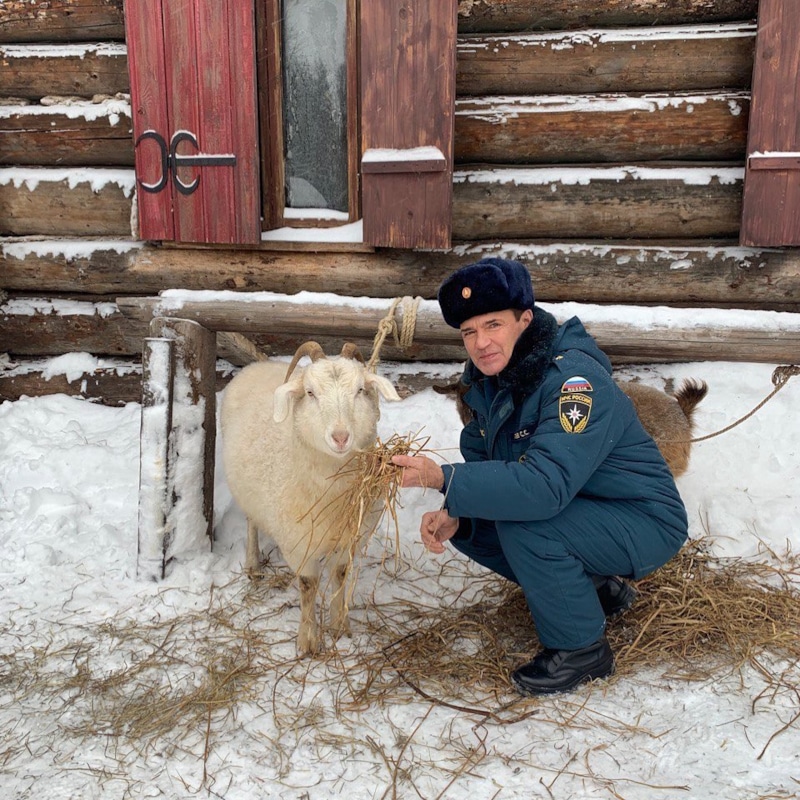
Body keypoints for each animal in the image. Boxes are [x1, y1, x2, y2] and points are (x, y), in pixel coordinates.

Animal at [220, 340, 400, 652]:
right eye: (310, 392)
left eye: (360, 390)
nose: (340, 437)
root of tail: (257, 365)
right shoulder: (298, 543)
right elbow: (308, 587)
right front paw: (308, 641)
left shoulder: (350, 540)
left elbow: (340, 577)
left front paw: (340, 626)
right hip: (247, 492)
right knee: (252, 522)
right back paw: (253, 563)